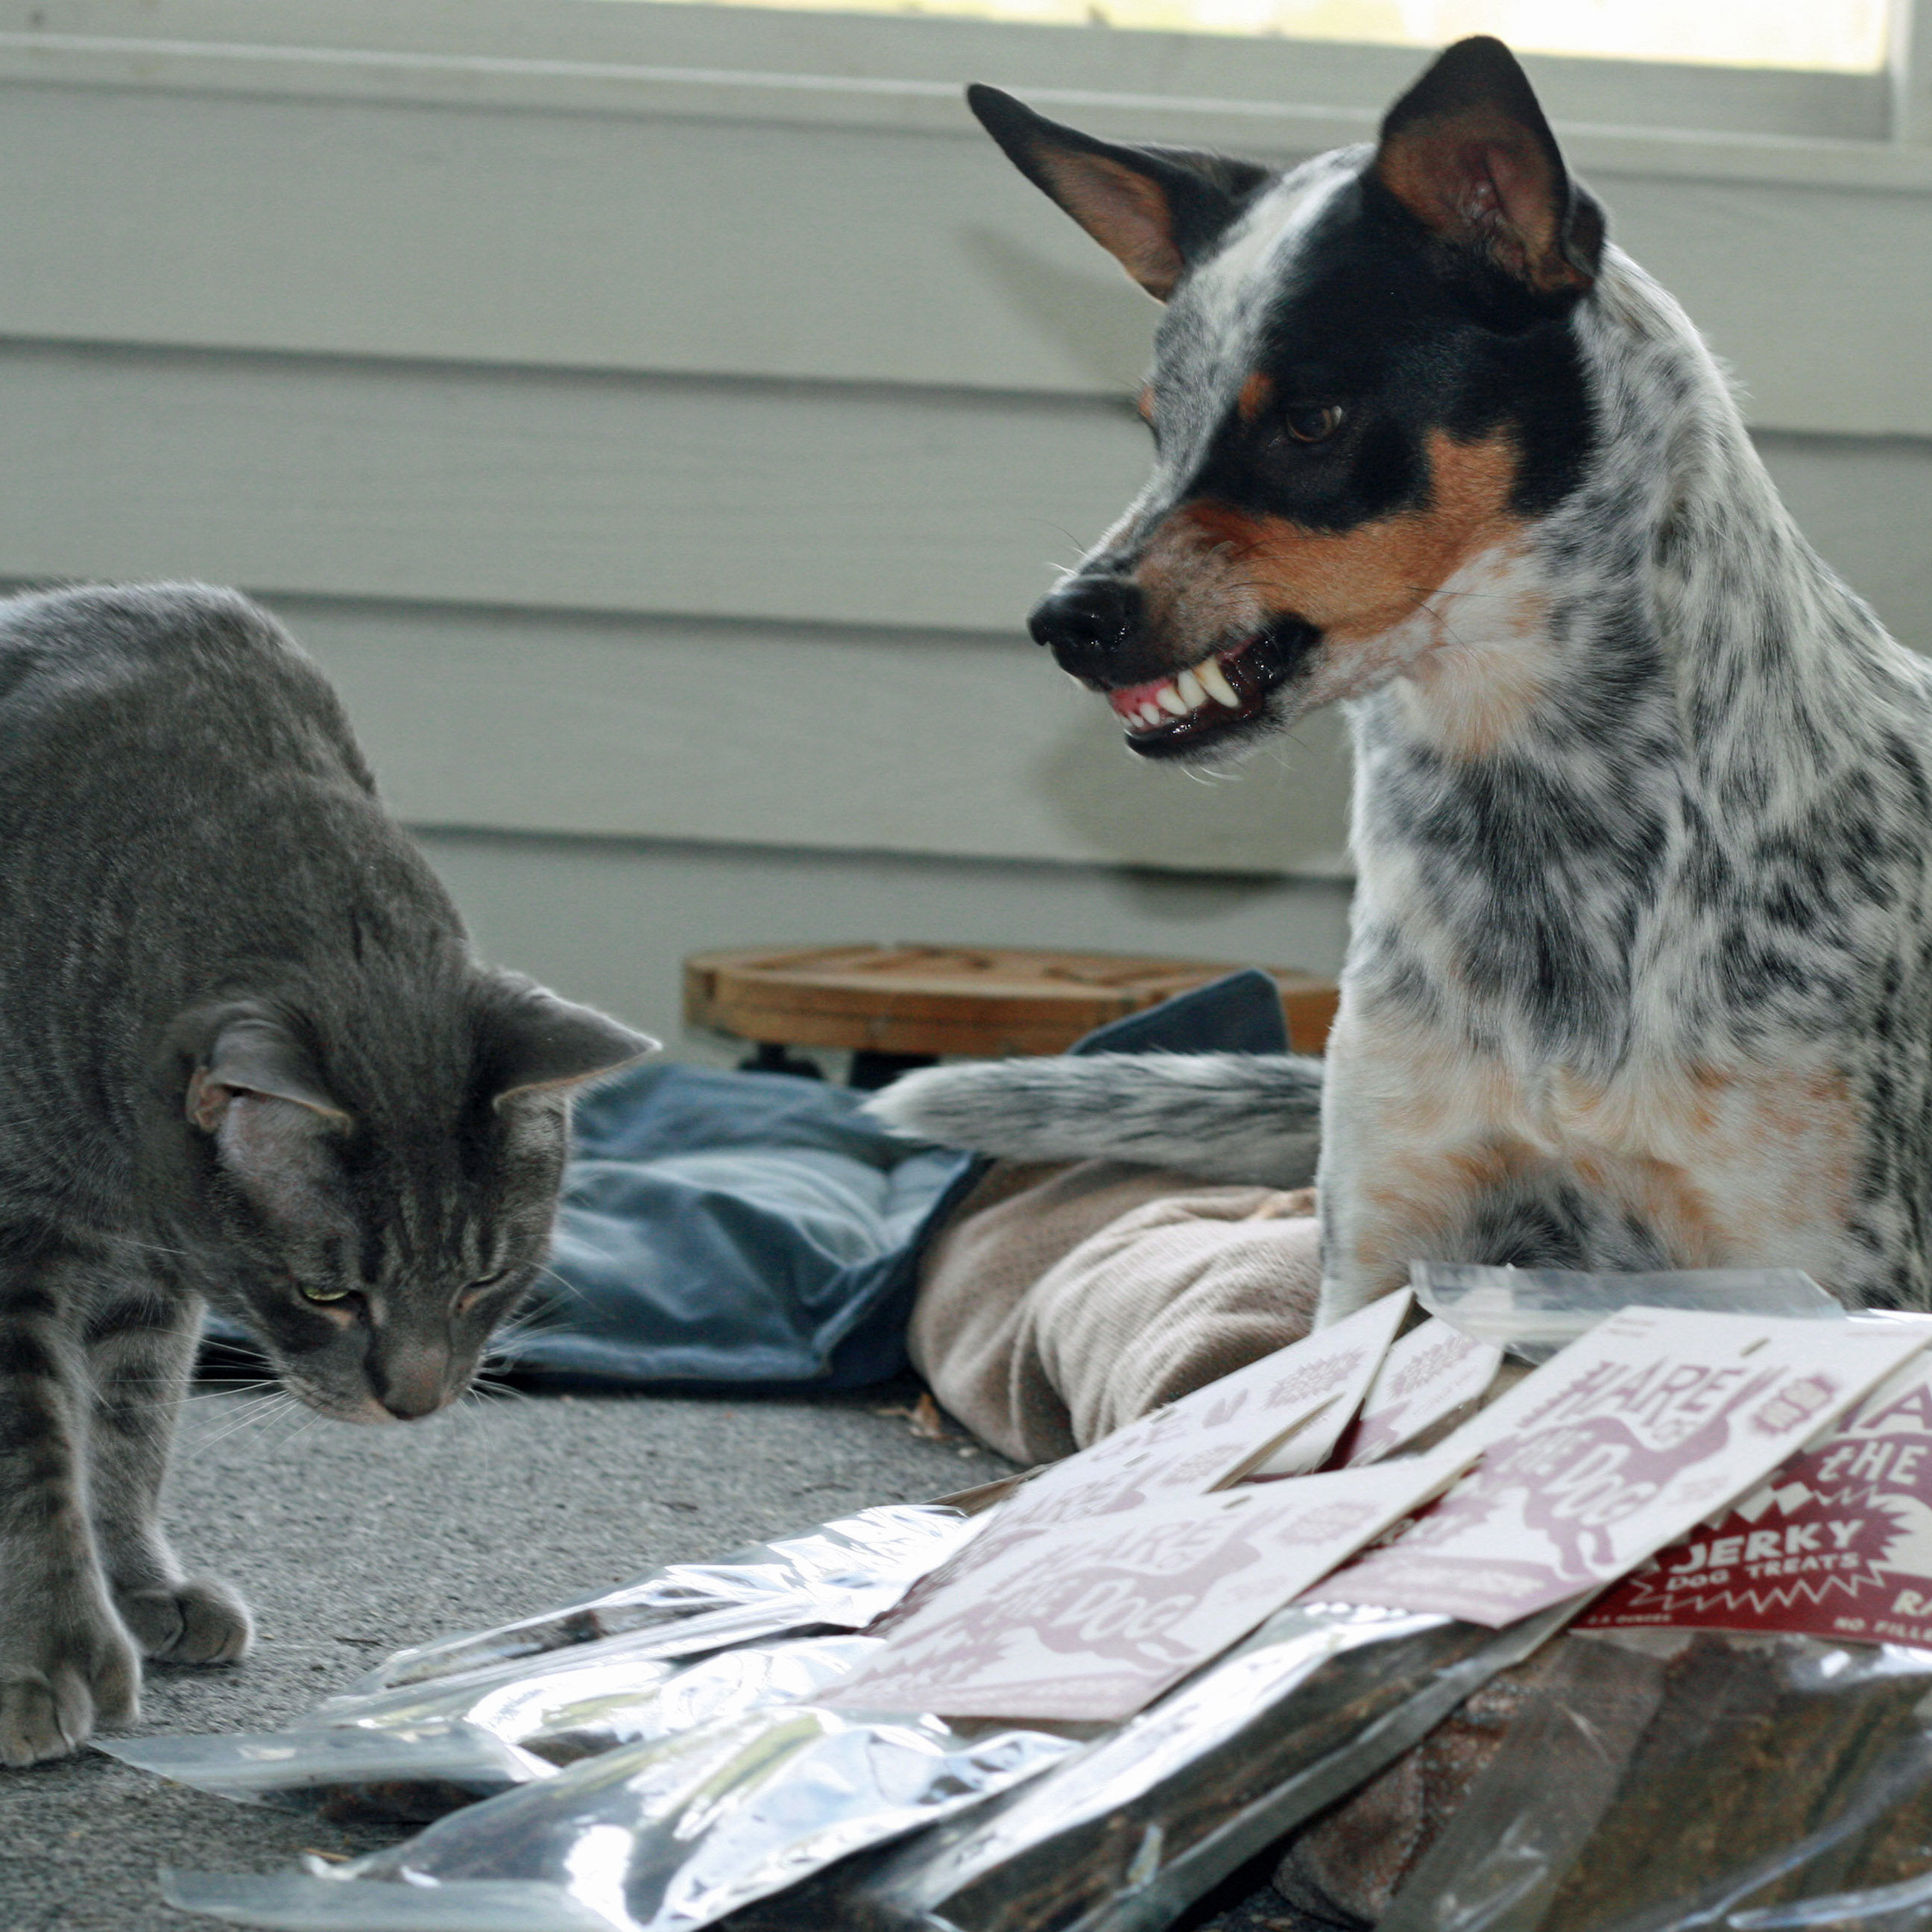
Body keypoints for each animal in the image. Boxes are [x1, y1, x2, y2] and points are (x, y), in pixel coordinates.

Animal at [0, 575, 653, 1770]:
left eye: (485, 1280)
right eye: (328, 1292)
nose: (417, 1401)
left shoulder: (146, 1275)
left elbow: (128, 1428)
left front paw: (143, 1585)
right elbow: (35, 1450)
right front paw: (51, 1650)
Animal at [869, 34, 1932, 1329]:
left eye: (1313, 419)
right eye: (1157, 427)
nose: (1066, 620)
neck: (1537, 834)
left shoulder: (1825, 1271)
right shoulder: (1380, 1244)